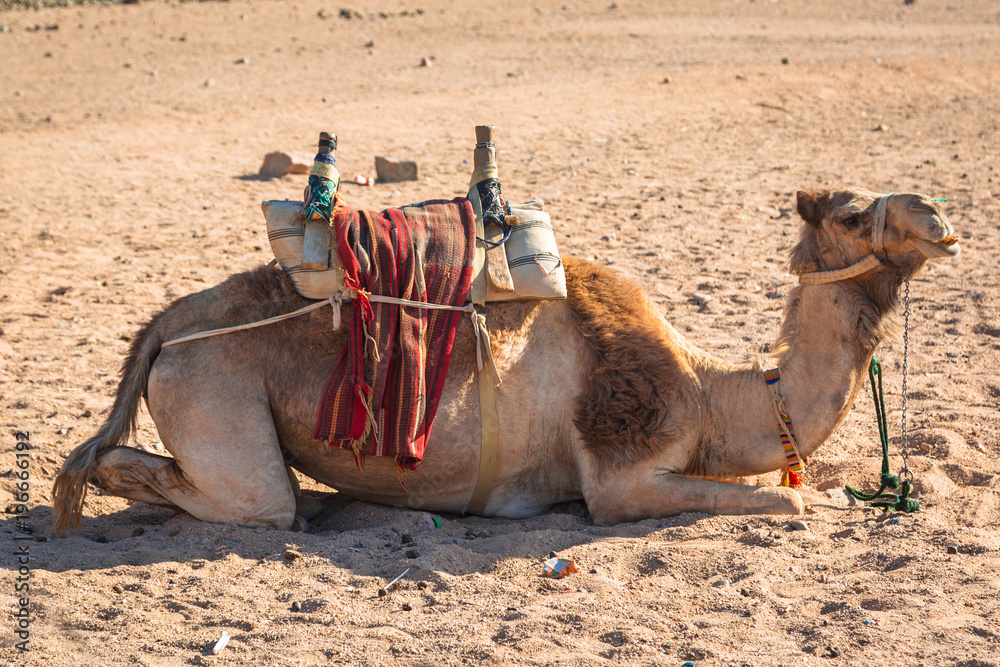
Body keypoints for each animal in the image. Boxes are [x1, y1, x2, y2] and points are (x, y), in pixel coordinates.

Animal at [50, 185, 956, 536]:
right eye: (851, 212)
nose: (939, 215)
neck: (708, 390)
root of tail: (168, 324)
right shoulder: (619, 478)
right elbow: (788, 499)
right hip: (214, 391)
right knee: (258, 500)